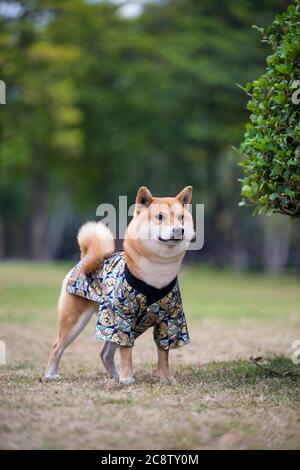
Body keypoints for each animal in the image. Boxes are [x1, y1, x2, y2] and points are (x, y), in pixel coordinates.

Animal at [44, 185, 195, 384]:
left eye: (181, 217)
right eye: (160, 217)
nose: (179, 230)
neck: (158, 272)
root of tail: (84, 258)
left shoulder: (171, 319)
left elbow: (164, 352)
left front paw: (165, 378)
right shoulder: (124, 317)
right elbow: (126, 352)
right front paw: (127, 378)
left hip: (112, 322)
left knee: (105, 353)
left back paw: (115, 376)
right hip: (77, 320)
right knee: (57, 346)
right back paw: (50, 374)